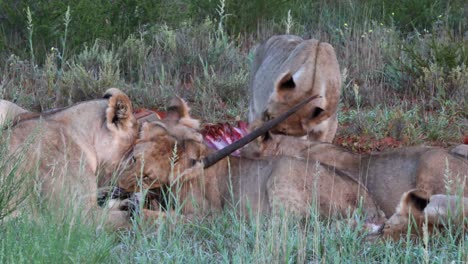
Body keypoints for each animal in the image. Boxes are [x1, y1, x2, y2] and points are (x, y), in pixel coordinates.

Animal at [118, 98, 384, 224]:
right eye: (132, 158)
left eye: (147, 176)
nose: (119, 189)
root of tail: (372, 204)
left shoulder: (207, 215)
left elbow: (162, 217)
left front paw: (135, 210)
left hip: (282, 172)